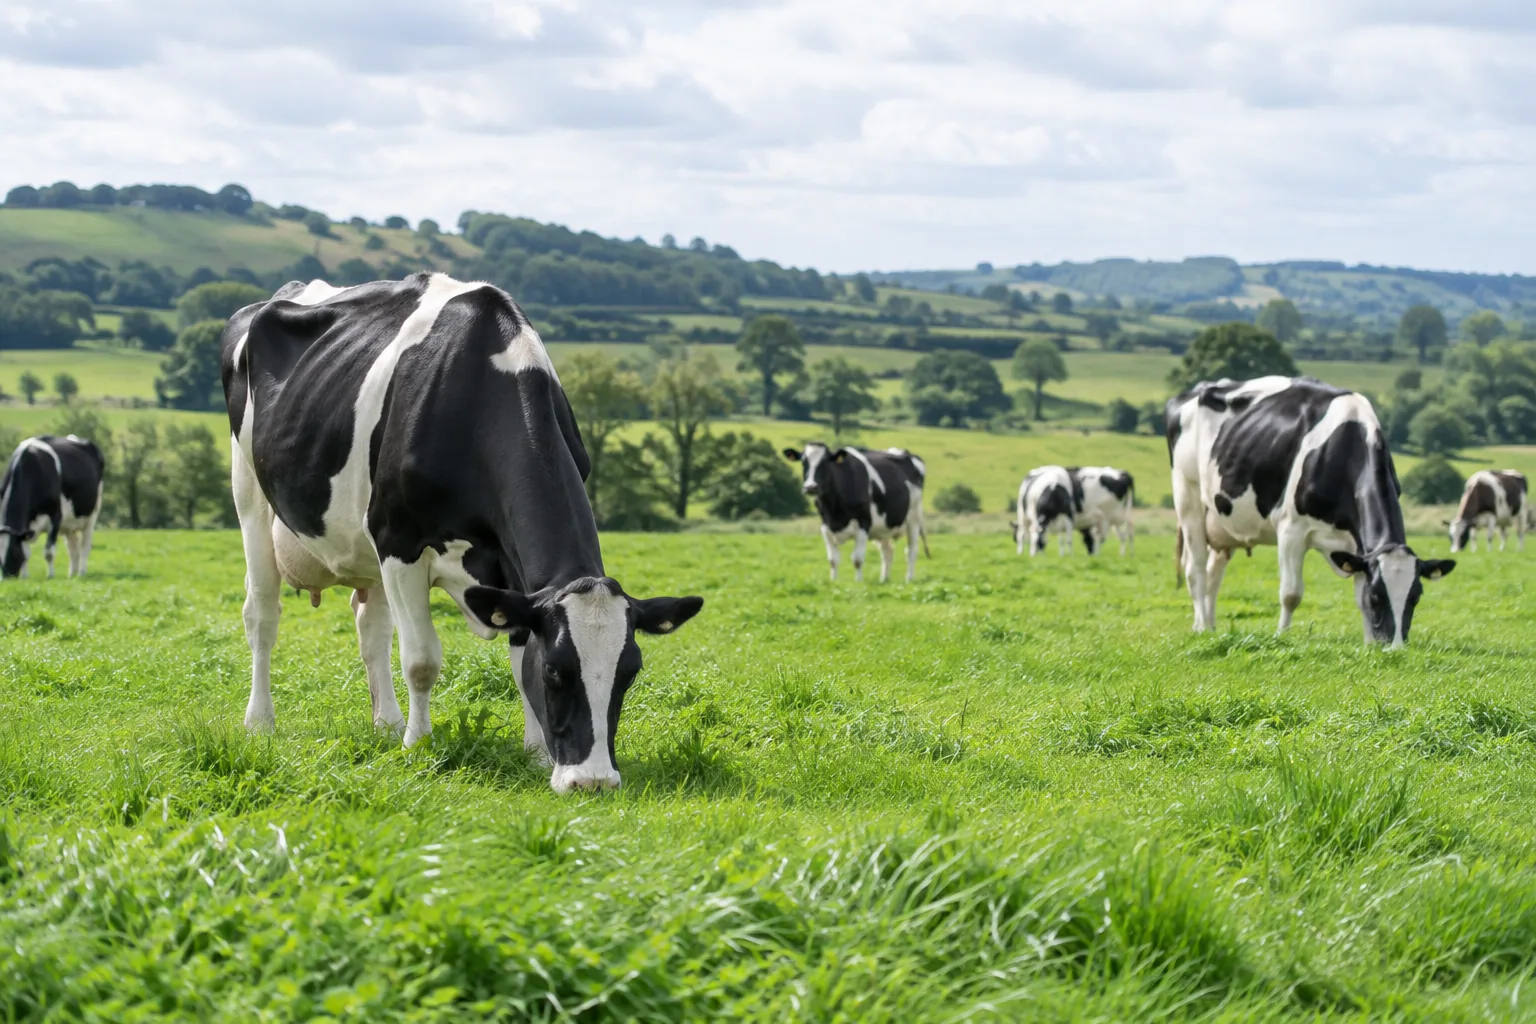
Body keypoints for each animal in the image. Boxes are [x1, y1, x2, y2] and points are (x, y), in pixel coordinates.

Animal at [0, 434, 104, 579]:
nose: (6, 578)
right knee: (72, 547)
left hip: (92, 514)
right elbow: (26, 553)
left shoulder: (55, 517)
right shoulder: (26, 527)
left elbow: (49, 552)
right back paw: (72, 574)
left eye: (14, 553)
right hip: (68, 524)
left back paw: (81, 572)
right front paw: (25, 577)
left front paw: (50, 576)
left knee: (84, 546)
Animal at [222, 273, 704, 793]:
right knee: (262, 615)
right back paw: (260, 721)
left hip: (363, 542)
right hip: (250, 495)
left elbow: (516, 654)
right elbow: (421, 659)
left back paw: (386, 724)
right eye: (556, 670)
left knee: (371, 627)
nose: (593, 781)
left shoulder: (511, 572)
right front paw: (419, 746)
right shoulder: (399, 540)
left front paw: (536, 753)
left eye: (629, 673)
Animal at [781, 443, 928, 582]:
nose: (810, 487)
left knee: (911, 551)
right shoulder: (825, 526)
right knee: (887, 551)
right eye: (803, 462)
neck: (835, 511)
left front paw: (858, 581)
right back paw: (884, 579)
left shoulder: (864, 523)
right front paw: (834, 581)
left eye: (825, 462)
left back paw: (909, 578)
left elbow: (857, 559)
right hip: (883, 526)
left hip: (914, 518)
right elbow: (833, 560)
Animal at [1166, 376, 1453, 647]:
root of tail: (1193, 391)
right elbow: (1291, 594)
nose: (1395, 647)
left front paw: (1369, 643)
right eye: (1377, 595)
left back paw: (1211, 627)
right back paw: (1201, 626)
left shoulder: (1358, 548)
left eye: (1416, 596)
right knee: (1196, 569)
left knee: (1213, 575)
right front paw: (1281, 636)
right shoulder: (1290, 529)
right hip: (1187, 494)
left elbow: (1357, 595)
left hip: (1221, 520)